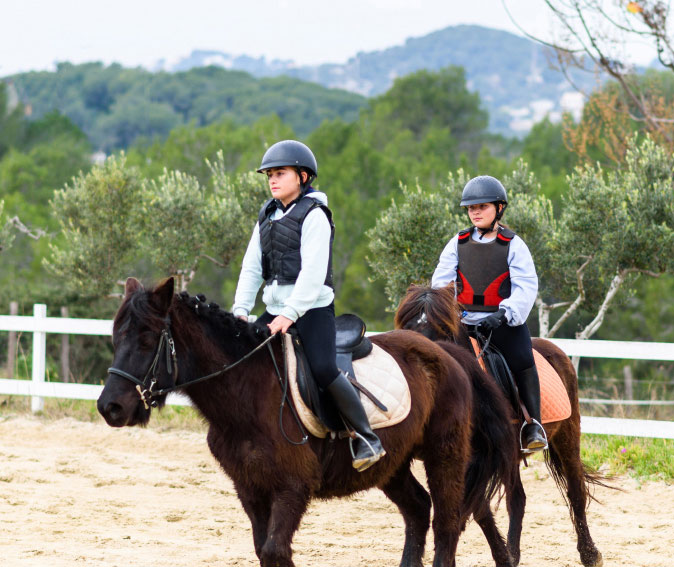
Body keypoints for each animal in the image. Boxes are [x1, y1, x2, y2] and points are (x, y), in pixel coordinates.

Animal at [96, 278, 516, 567]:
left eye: (147, 339)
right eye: (116, 337)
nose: (109, 407)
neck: (247, 391)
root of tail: (445, 351)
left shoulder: (292, 487)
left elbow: (275, 551)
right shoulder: (250, 488)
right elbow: (263, 550)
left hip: (446, 453)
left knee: (447, 522)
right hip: (392, 463)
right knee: (417, 510)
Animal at [394, 284, 608, 567]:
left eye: (441, 330)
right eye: (407, 327)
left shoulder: (476, 459)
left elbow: (466, 509)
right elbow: (477, 509)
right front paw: (500, 555)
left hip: (567, 435)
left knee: (576, 491)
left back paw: (590, 553)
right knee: (517, 499)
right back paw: (514, 553)